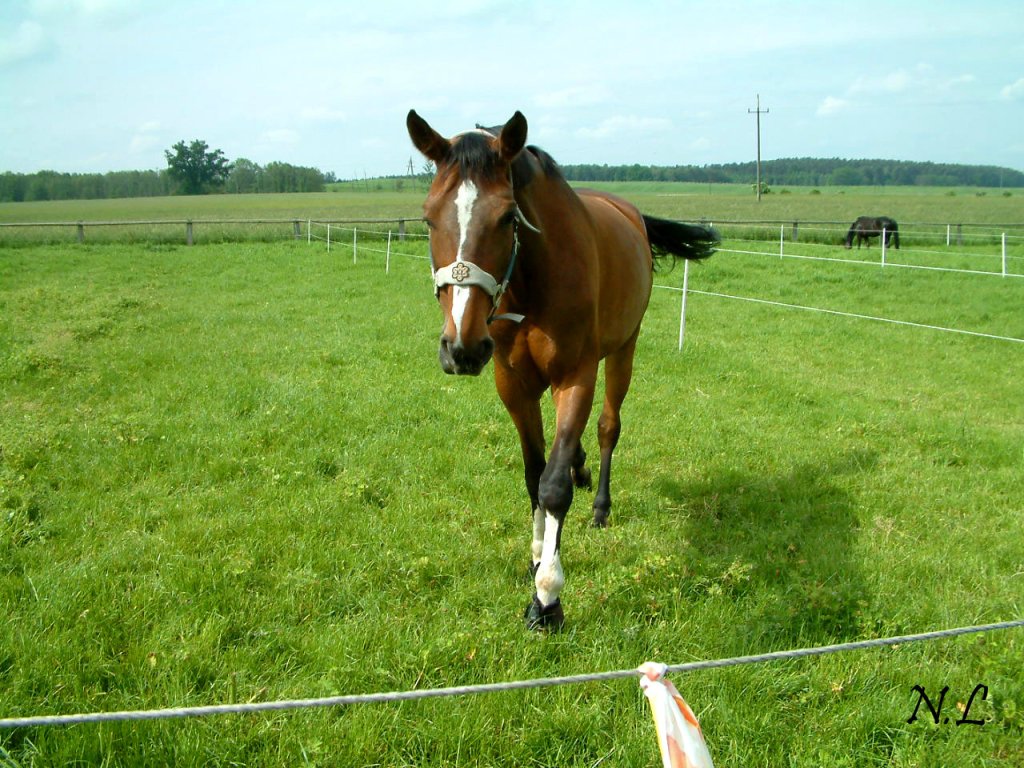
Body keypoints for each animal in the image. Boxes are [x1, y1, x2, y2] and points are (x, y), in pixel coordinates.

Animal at [403, 109, 716, 630]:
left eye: (508, 216)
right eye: (428, 216)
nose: (461, 348)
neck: (534, 279)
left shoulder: (575, 376)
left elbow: (552, 487)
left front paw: (547, 597)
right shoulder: (514, 385)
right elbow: (534, 473)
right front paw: (536, 556)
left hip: (623, 350)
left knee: (608, 426)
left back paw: (600, 505)